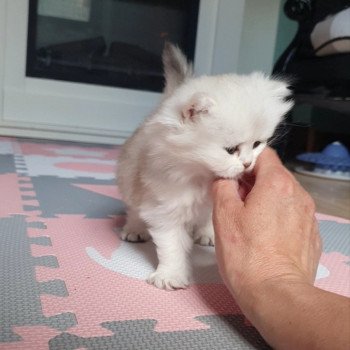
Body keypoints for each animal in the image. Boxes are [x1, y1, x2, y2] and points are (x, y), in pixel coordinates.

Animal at [117, 43, 292, 290]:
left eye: (257, 144)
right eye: (230, 150)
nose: (247, 163)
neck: (199, 174)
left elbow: (210, 216)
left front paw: (208, 232)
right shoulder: (165, 208)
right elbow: (172, 246)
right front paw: (171, 275)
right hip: (130, 178)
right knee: (133, 207)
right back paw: (135, 229)